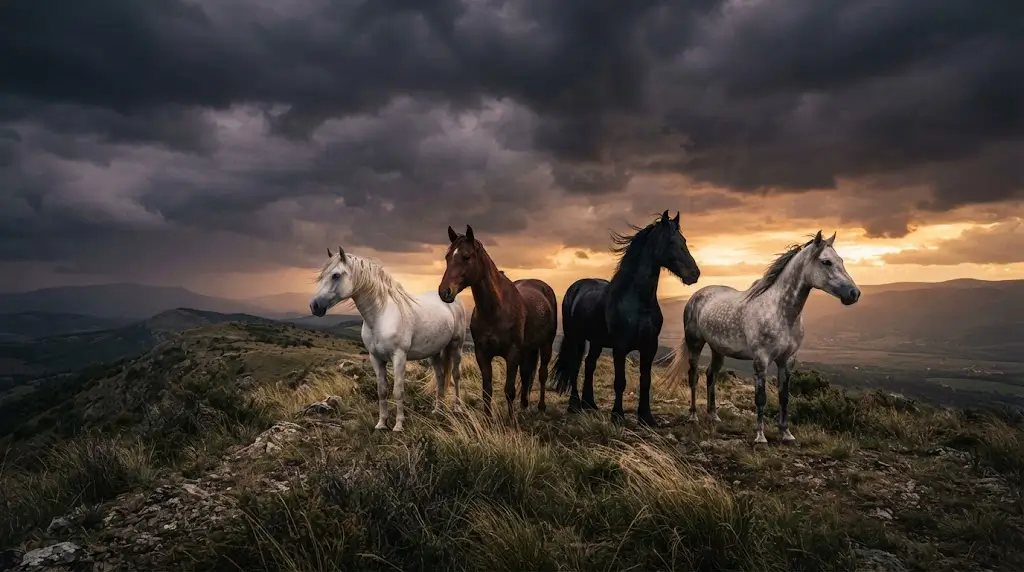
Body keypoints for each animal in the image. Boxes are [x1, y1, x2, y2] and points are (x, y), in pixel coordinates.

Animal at [309, 247, 469, 432]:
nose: (314, 306)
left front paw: (399, 425)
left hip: (456, 346)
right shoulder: (376, 358)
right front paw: (381, 423)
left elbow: (398, 391)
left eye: (336, 275)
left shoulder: (399, 357)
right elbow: (382, 391)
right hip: (434, 352)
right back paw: (438, 410)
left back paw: (457, 408)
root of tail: (452, 298)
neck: (381, 315)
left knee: (456, 375)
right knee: (440, 377)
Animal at [438, 225, 558, 418]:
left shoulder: (513, 353)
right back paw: (524, 405)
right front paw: (488, 419)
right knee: (526, 374)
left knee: (542, 374)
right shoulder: (482, 353)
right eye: (447, 257)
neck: (495, 311)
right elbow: (487, 390)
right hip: (528, 349)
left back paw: (540, 407)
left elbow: (509, 390)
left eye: (466, 256)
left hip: (546, 345)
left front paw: (511, 421)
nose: (444, 292)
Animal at [550, 210, 701, 427]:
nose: (694, 274)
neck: (638, 302)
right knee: (575, 366)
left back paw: (590, 404)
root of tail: (576, 286)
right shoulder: (620, 347)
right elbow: (620, 382)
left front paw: (646, 417)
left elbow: (645, 381)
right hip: (576, 338)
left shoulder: (650, 346)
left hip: (596, 341)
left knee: (589, 364)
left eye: (685, 240)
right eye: (672, 242)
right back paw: (574, 405)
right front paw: (617, 416)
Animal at [663, 231, 861, 444]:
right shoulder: (761, 360)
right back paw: (693, 416)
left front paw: (786, 434)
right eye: (826, 262)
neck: (780, 312)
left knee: (711, 375)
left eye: (841, 260)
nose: (854, 293)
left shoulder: (787, 361)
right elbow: (760, 398)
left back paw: (714, 415)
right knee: (694, 376)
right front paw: (760, 437)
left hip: (718, 349)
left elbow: (784, 397)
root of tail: (696, 296)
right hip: (695, 344)